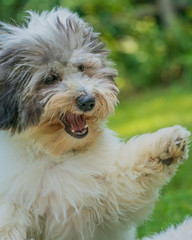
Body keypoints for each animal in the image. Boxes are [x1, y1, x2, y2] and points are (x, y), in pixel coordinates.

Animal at [0, 7, 190, 240]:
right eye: (50, 78)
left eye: (82, 68)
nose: (88, 101)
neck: (56, 154)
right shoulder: (12, 203)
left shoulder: (101, 198)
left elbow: (124, 179)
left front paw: (166, 146)